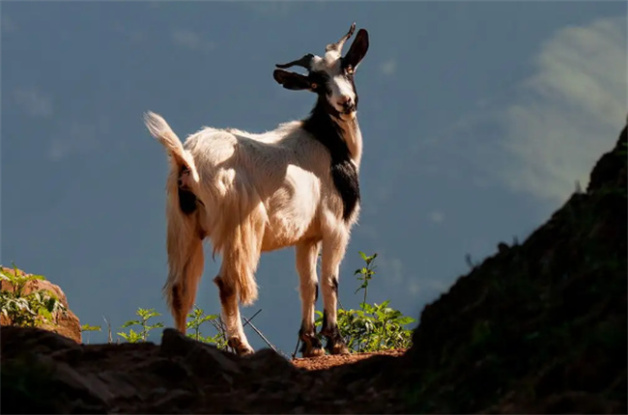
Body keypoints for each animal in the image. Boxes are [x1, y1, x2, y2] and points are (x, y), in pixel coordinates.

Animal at [144, 24, 368, 360]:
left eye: (348, 68)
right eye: (316, 83)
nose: (346, 102)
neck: (329, 143)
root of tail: (189, 163)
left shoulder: (307, 236)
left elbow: (309, 284)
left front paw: (311, 345)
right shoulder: (335, 224)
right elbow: (330, 281)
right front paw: (336, 342)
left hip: (183, 225)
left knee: (180, 288)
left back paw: (181, 343)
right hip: (239, 225)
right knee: (226, 282)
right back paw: (242, 346)